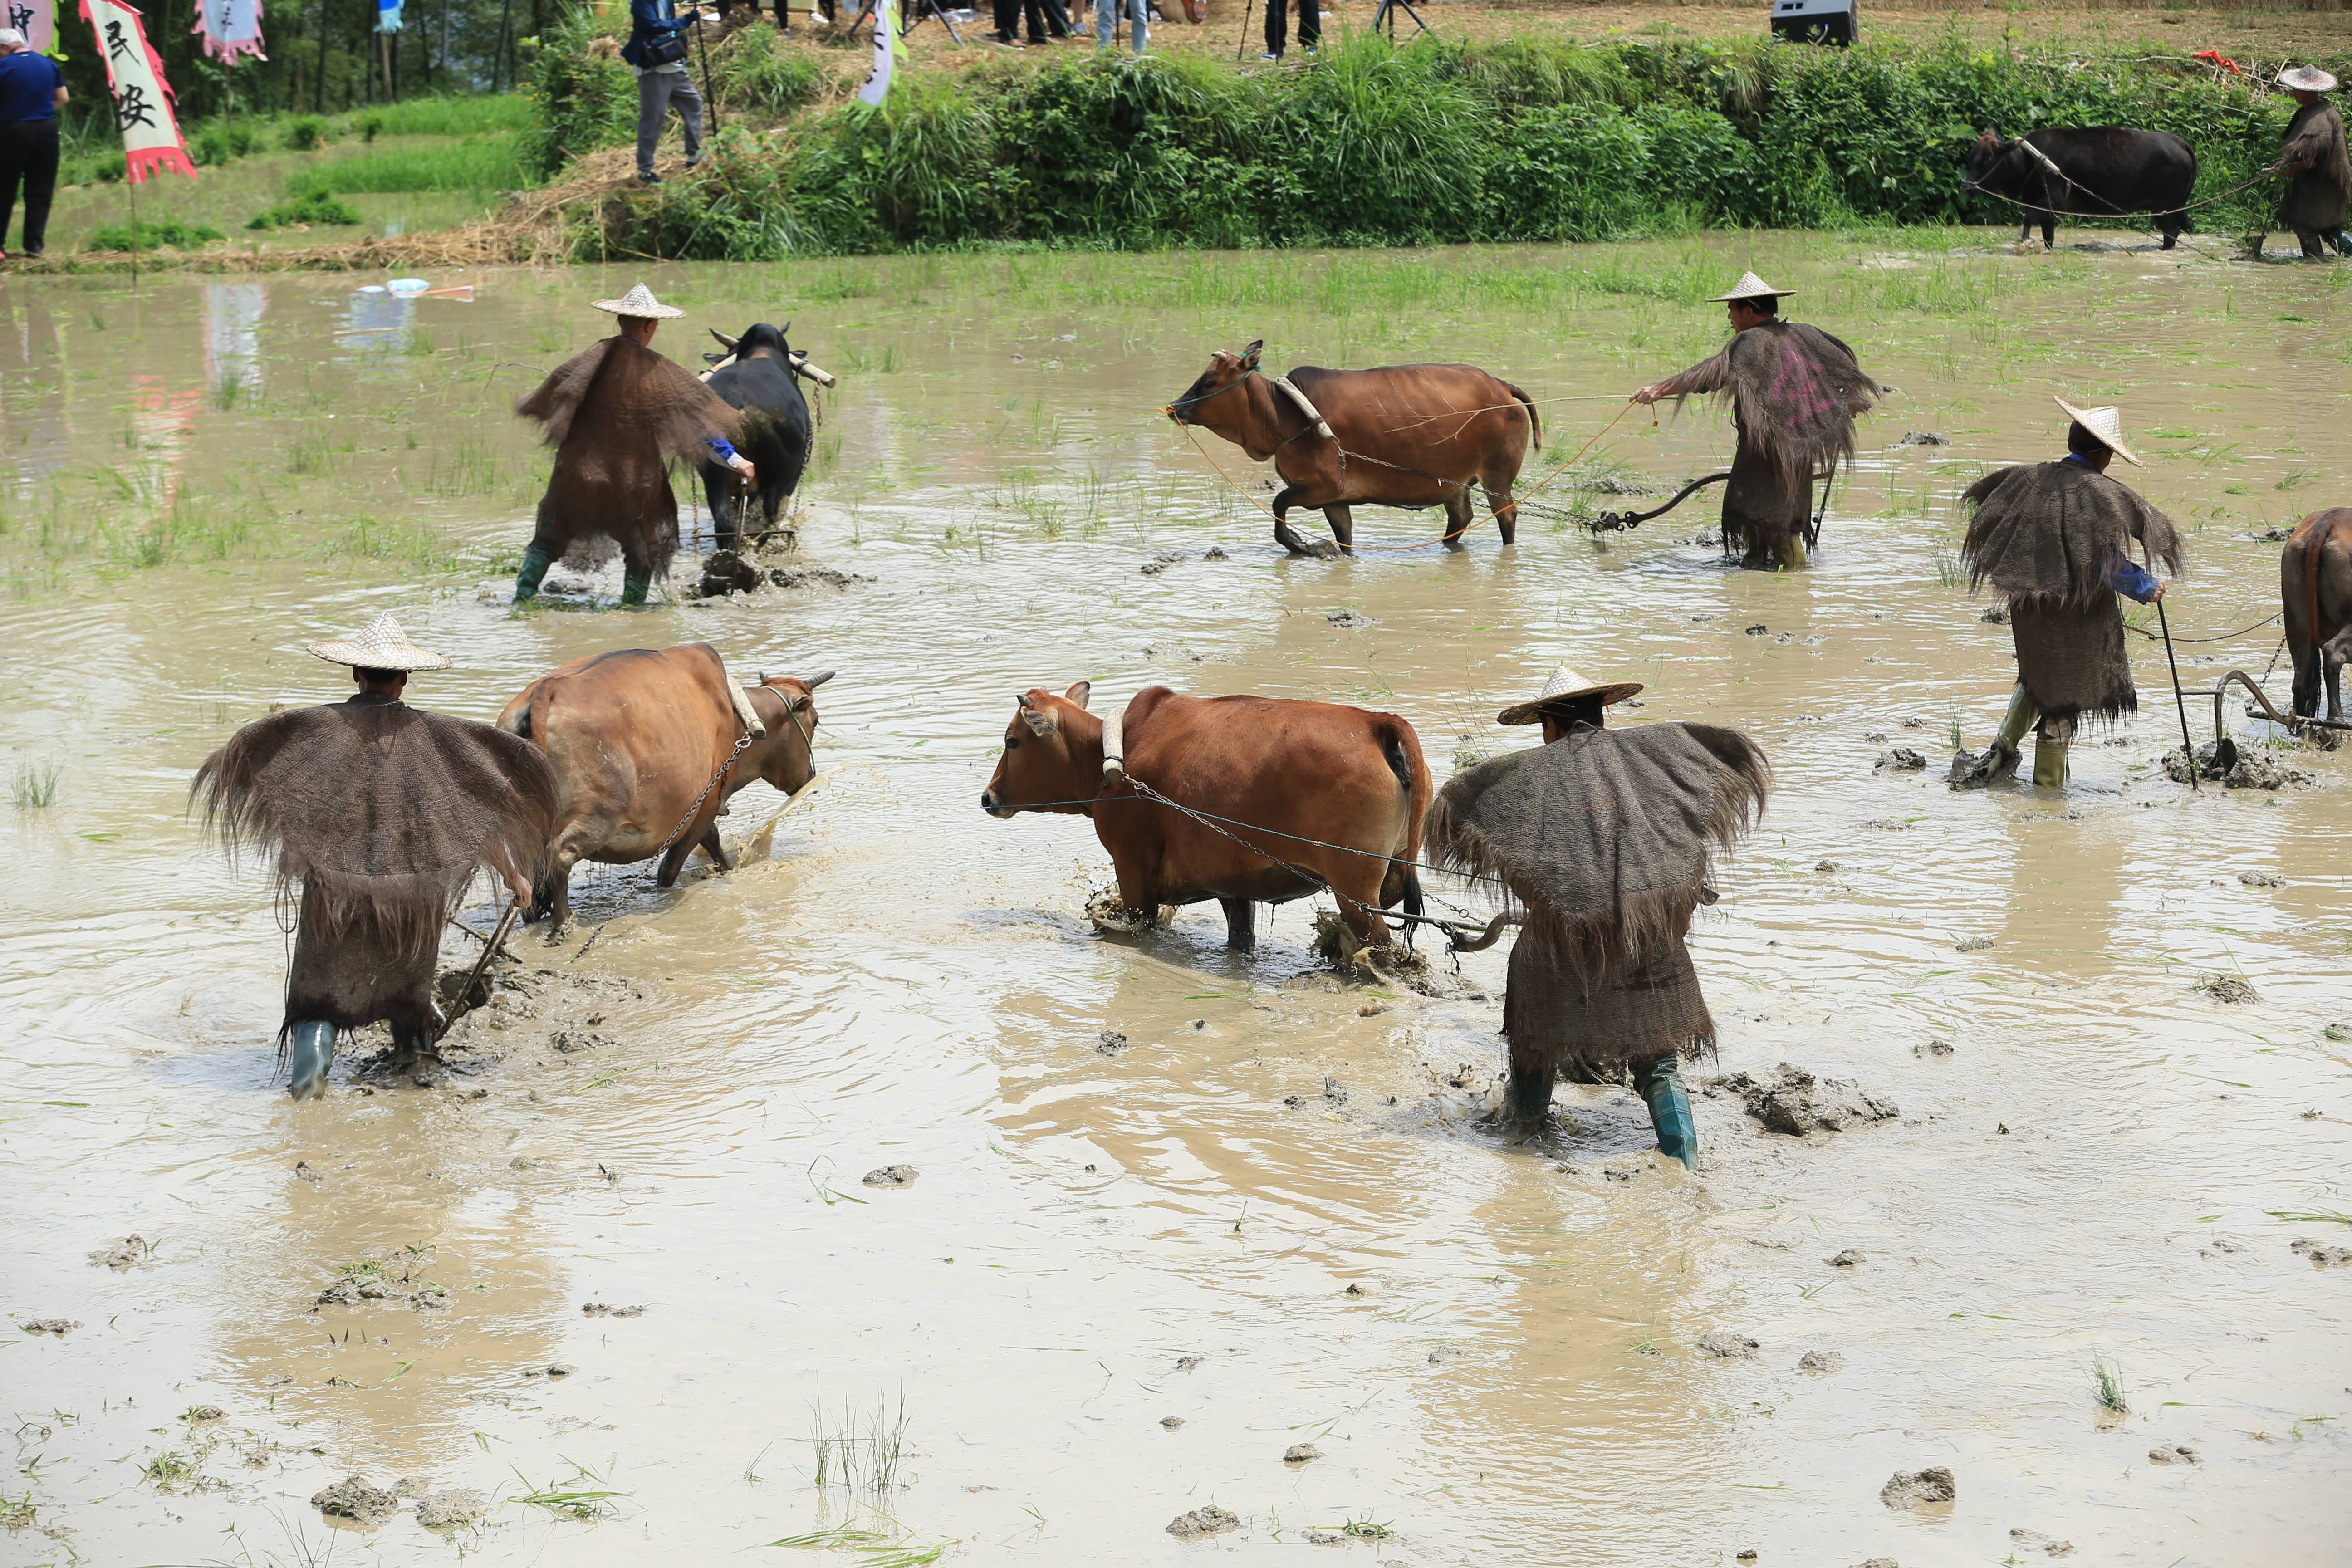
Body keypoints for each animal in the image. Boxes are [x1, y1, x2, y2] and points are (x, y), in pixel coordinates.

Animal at [1966, 127, 2201, 250]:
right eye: (1971, 156)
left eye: (1988, 159)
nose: (1965, 187)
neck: (2030, 159)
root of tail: (2179, 141)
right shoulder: (2046, 209)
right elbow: (2048, 235)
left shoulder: (2053, 201)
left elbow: (2027, 218)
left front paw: (2024, 242)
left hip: (2164, 208)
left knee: (2171, 233)